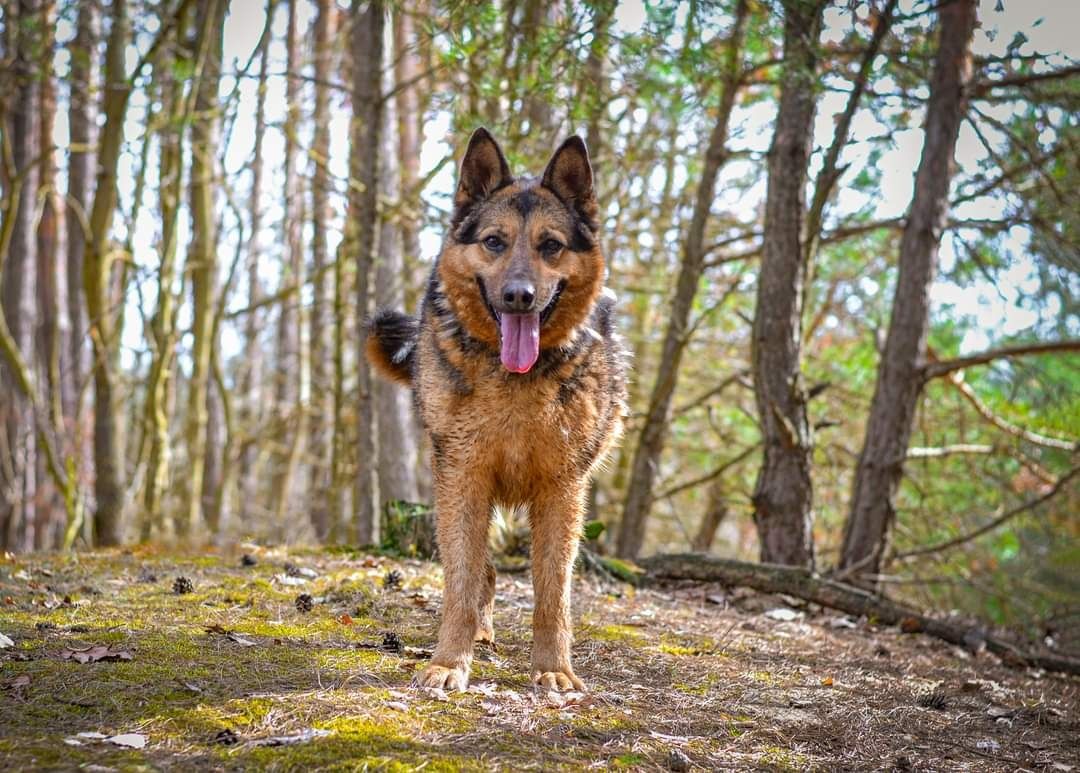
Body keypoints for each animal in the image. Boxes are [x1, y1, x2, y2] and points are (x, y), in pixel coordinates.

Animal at [367, 128, 630, 695]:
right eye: (494, 242)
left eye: (550, 245)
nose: (518, 296)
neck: (515, 380)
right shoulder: (463, 476)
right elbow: (462, 581)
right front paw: (450, 660)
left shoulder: (563, 490)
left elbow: (553, 593)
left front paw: (554, 668)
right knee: (480, 572)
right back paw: (479, 634)